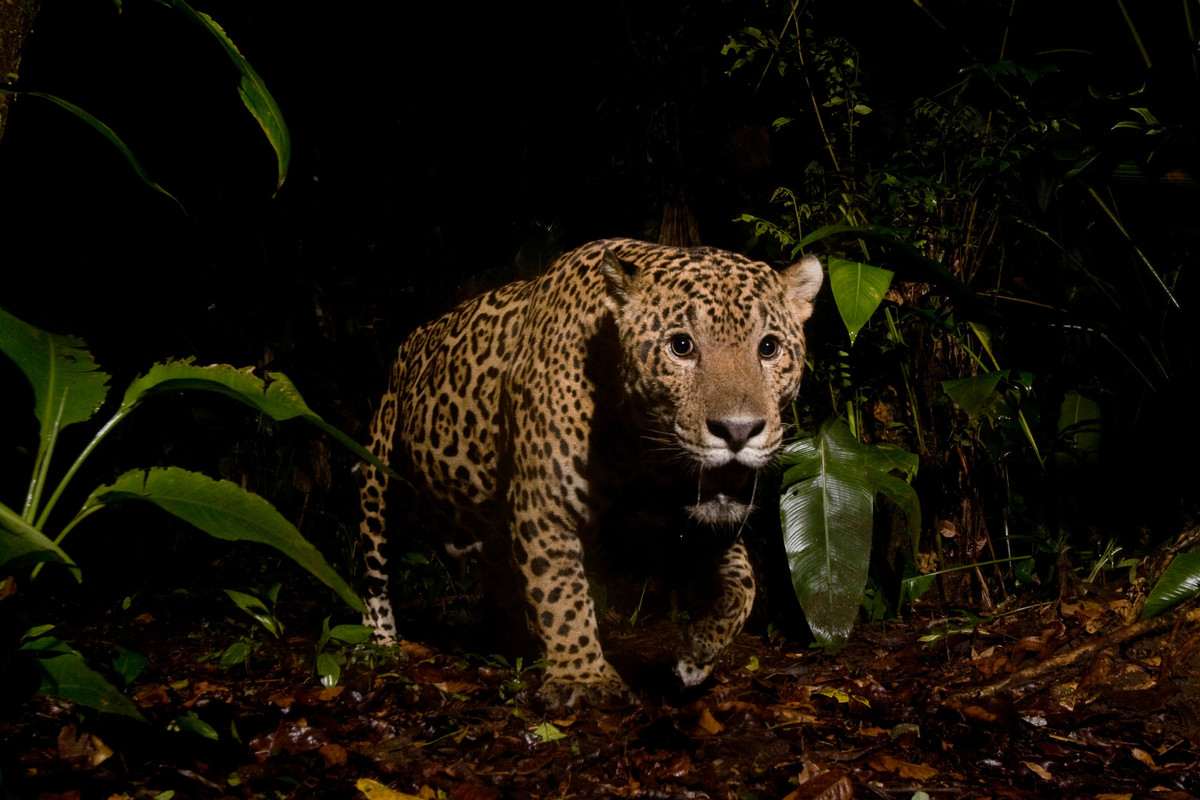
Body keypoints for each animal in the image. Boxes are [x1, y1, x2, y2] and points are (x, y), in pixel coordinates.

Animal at [357, 238, 822, 707]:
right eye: (681, 346)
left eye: (768, 348)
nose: (738, 430)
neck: (643, 453)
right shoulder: (543, 506)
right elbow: (561, 593)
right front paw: (582, 677)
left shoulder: (692, 521)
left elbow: (743, 584)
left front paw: (697, 654)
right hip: (379, 481)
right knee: (372, 570)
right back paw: (379, 647)